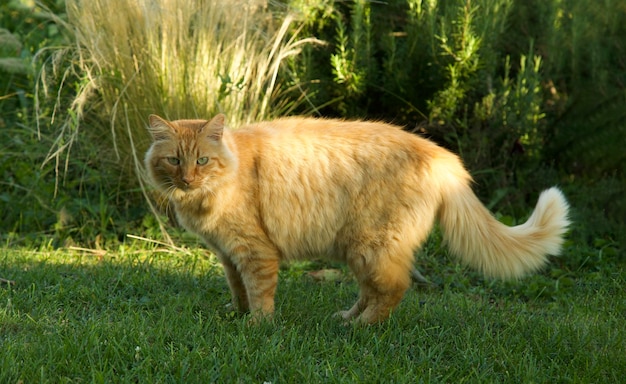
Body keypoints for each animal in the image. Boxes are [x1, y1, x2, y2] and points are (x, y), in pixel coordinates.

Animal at [144, 114, 568, 324]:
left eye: (202, 160)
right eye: (174, 160)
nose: (187, 180)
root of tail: (442, 156)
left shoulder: (254, 252)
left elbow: (260, 294)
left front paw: (256, 327)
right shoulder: (228, 255)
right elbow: (238, 290)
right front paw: (236, 315)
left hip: (372, 246)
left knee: (394, 290)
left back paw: (361, 329)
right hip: (359, 250)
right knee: (370, 291)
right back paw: (346, 318)